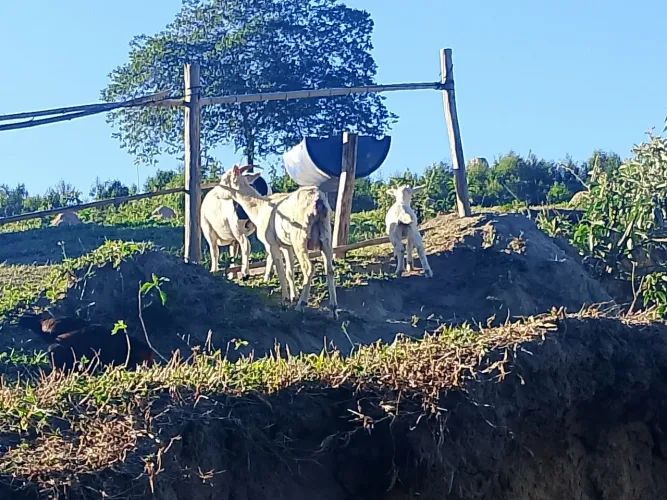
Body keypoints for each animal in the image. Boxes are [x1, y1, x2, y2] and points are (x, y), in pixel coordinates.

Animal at [218, 165, 338, 319]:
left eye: (225, 180)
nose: (217, 193)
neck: (259, 208)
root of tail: (318, 201)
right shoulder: (287, 246)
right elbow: (289, 270)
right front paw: (293, 296)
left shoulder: (272, 244)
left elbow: (280, 270)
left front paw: (285, 301)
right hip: (326, 235)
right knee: (330, 269)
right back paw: (333, 309)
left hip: (300, 238)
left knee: (308, 268)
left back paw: (301, 305)